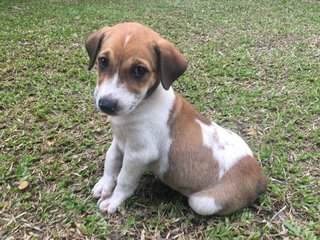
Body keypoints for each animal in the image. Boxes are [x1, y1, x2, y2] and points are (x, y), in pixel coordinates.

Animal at [85, 21, 268, 215]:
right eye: (103, 61)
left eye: (139, 70)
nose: (106, 104)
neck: (142, 104)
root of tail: (260, 176)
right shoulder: (119, 140)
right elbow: (111, 159)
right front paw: (105, 184)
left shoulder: (139, 153)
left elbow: (124, 179)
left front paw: (114, 200)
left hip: (202, 202)